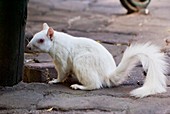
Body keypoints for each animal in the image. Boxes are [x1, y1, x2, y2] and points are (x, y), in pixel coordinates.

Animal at [26, 23, 167, 98]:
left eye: (41, 40)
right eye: (34, 36)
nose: (28, 47)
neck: (57, 42)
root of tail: (107, 75)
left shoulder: (62, 59)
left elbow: (62, 72)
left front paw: (55, 80)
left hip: (82, 63)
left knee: (95, 85)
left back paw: (79, 86)